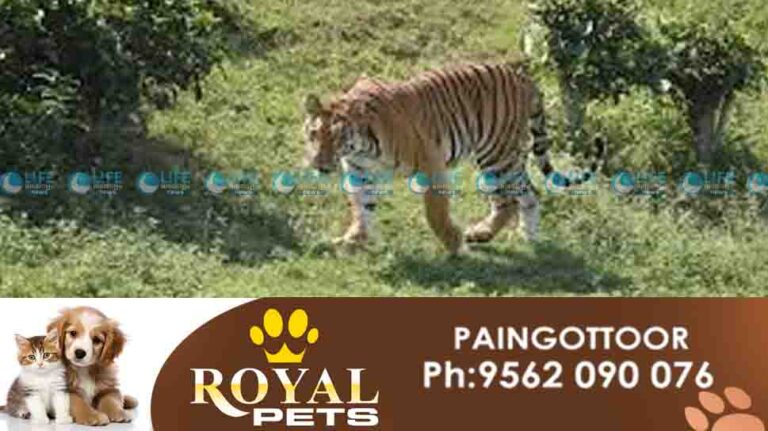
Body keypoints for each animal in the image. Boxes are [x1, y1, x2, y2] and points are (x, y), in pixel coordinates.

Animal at [303, 62, 598, 255]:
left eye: (338, 137)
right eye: (315, 133)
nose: (319, 164)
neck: (361, 148)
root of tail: (524, 78)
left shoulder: (432, 164)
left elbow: (435, 212)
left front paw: (455, 246)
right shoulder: (359, 173)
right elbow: (361, 208)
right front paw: (353, 240)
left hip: (495, 155)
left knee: (508, 200)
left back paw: (480, 234)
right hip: (503, 158)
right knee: (529, 193)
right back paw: (527, 237)